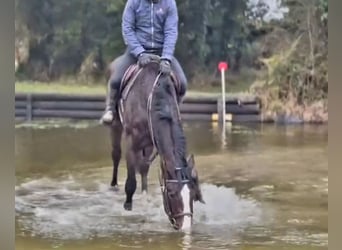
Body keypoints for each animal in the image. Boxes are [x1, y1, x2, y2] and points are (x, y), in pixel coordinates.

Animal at [107, 56, 203, 230]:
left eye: (193, 194)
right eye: (171, 193)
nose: (185, 226)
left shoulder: (154, 142)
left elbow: (144, 167)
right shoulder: (131, 142)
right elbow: (131, 182)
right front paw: (128, 208)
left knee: (143, 167)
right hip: (116, 126)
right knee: (116, 155)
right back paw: (113, 185)